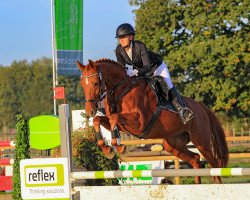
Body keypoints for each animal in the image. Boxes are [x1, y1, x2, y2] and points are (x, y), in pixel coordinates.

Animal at [76, 58, 229, 184]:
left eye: (96, 83)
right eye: (82, 84)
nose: (89, 111)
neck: (121, 90)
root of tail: (201, 106)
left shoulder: (139, 123)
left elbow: (114, 118)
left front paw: (119, 147)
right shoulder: (118, 124)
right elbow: (98, 120)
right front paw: (107, 149)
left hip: (201, 140)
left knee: (214, 165)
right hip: (173, 144)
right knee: (196, 159)